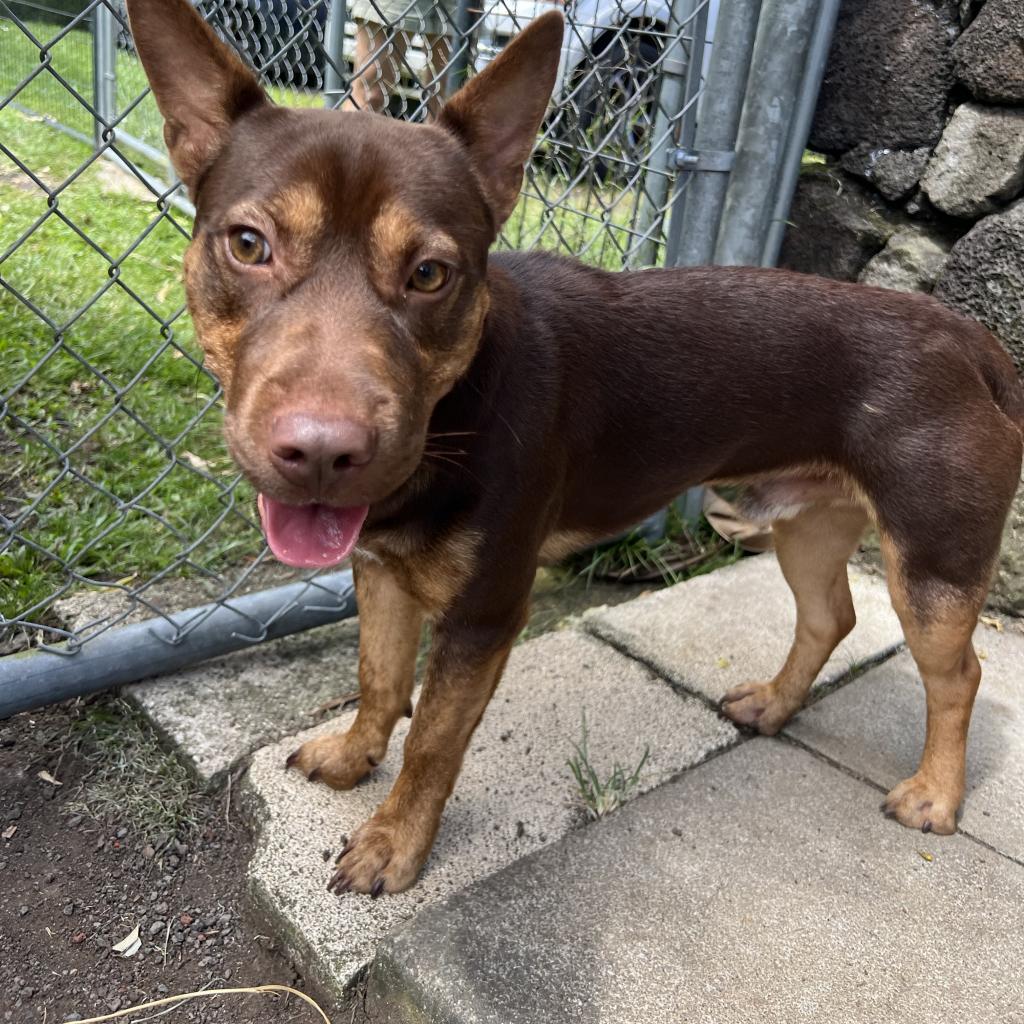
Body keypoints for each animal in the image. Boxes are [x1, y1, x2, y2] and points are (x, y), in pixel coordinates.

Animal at [128, 0, 1024, 892]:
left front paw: (394, 844)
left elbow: (432, 743)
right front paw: (353, 757)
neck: (457, 406)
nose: (319, 454)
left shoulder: (485, 614)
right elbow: (378, 680)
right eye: (248, 245)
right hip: (807, 522)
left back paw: (934, 795)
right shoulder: (381, 567)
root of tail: (970, 340)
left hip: (933, 565)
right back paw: (775, 703)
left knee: (959, 675)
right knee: (829, 616)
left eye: (430, 274)